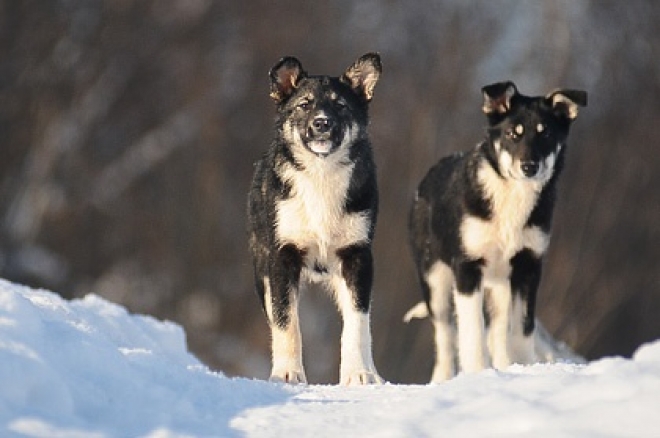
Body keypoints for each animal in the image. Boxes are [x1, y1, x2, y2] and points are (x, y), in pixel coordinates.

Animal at [246, 53, 382, 384]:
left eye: (341, 105)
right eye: (304, 104)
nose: (322, 123)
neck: (321, 177)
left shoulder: (357, 257)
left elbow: (358, 325)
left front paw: (358, 374)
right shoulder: (282, 257)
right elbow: (286, 322)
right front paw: (287, 373)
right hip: (261, 270)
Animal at [408, 82, 588, 384]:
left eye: (546, 133)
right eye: (512, 133)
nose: (529, 167)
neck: (511, 197)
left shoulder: (528, 266)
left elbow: (522, 328)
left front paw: (525, 368)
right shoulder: (467, 267)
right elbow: (471, 331)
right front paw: (477, 372)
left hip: (500, 284)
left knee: (499, 331)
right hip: (435, 279)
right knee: (444, 336)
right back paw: (443, 378)